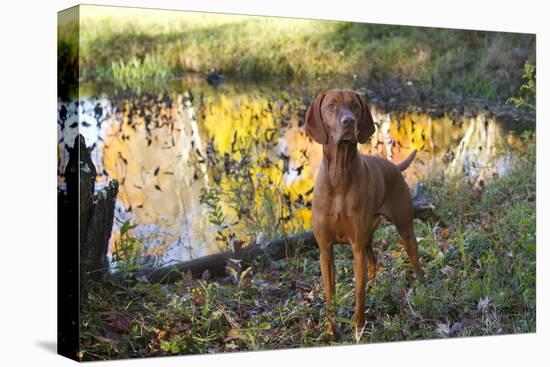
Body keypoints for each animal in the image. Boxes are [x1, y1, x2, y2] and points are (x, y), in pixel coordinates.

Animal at [304, 89, 424, 336]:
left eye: (355, 106)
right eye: (330, 106)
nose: (348, 121)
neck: (339, 175)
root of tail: (394, 166)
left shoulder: (356, 247)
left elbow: (359, 293)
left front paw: (358, 328)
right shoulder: (326, 250)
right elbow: (330, 295)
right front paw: (331, 330)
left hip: (404, 227)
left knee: (414, 256)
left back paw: (422, 284)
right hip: (369, 234)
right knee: (374, 261)